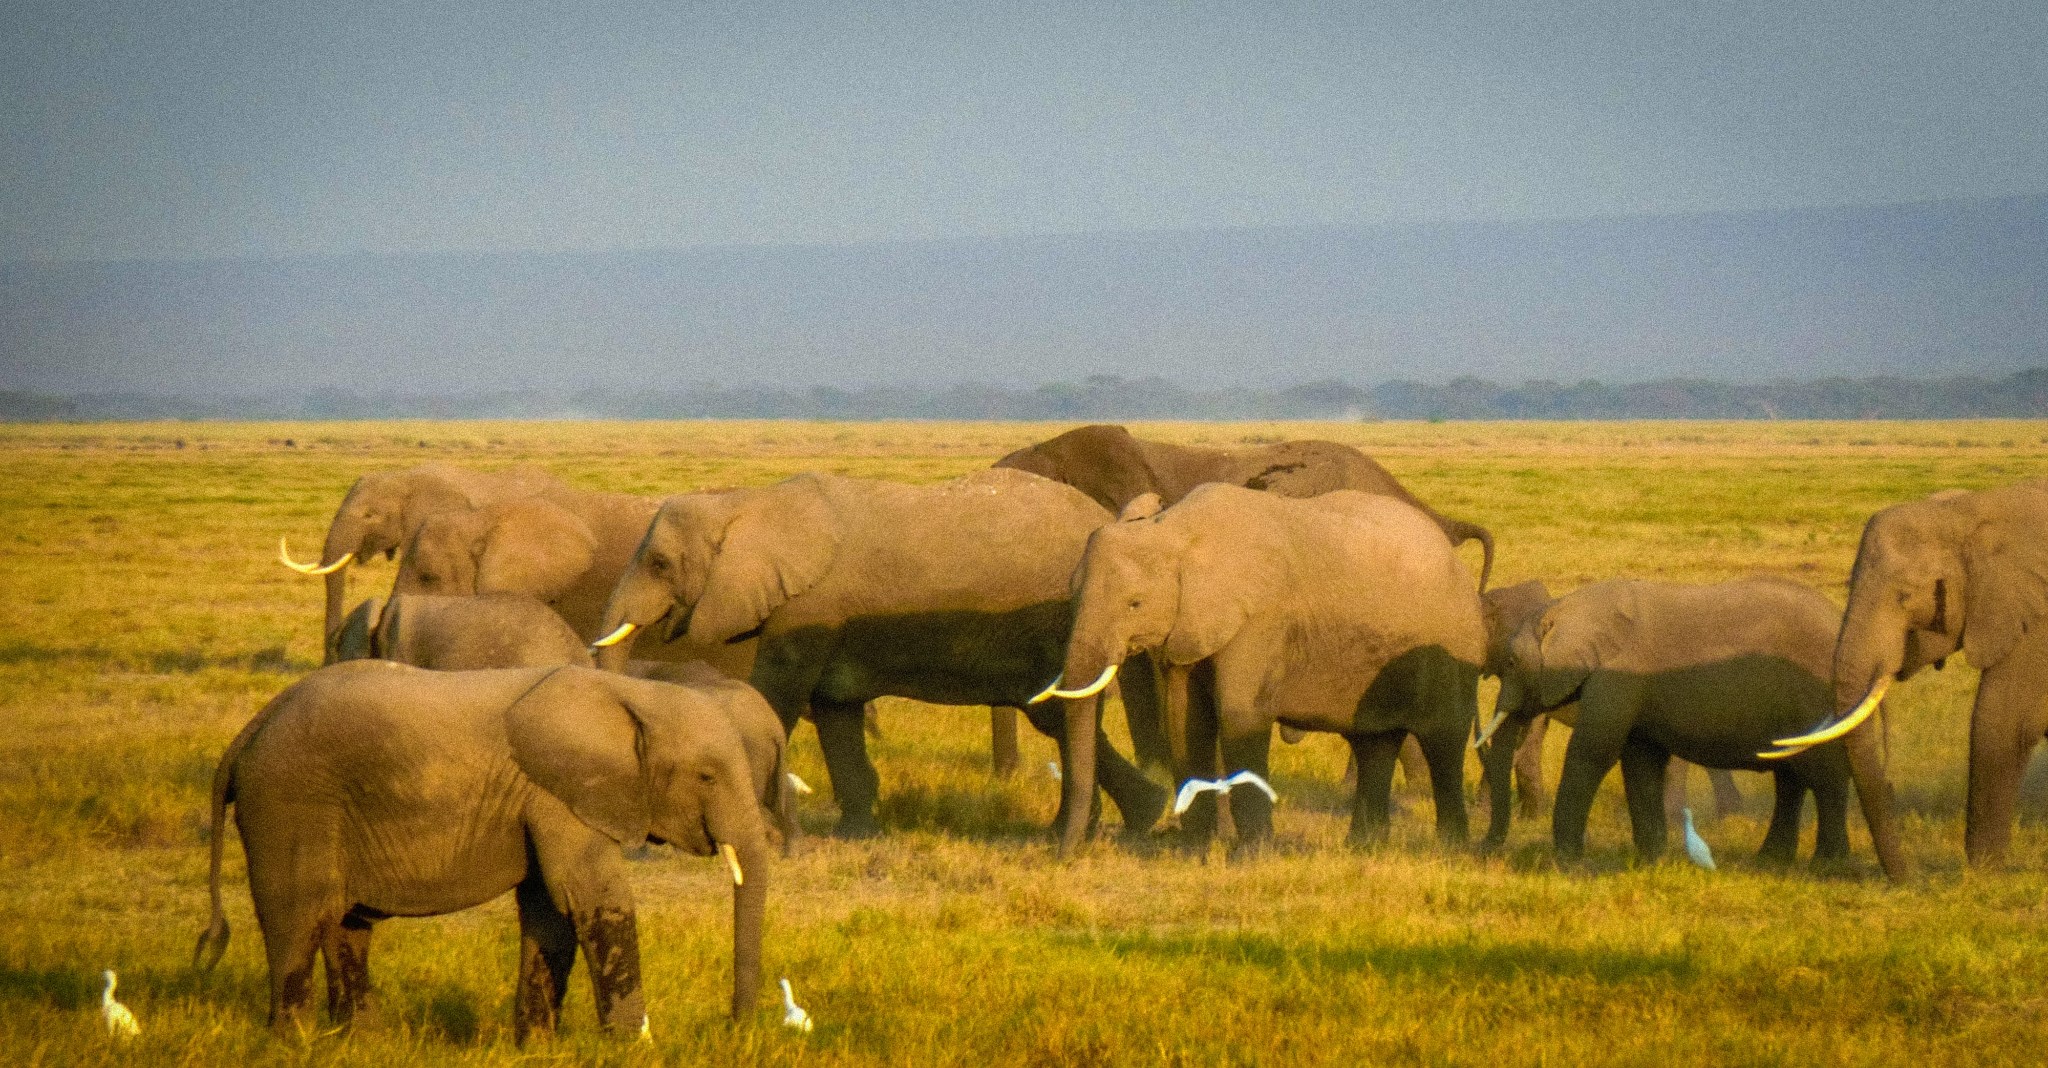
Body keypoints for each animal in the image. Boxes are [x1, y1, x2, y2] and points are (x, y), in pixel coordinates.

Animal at [197, 660, 774, 1037]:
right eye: (706, 776)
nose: (733, 1029)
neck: (631, 693)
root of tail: (250, 729)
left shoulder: (546, 798)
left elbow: (549, 912)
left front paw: (538, 1048)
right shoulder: (556, 794)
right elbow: (593, 899)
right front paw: (633, 1047)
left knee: (345, 926)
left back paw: (357, 1042)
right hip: (290, 805)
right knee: (299, 920)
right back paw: (293, 1043)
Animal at [1056, 487, 1490, 852]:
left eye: (1135, 604)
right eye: (1072, 595)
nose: (1068, 853)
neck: (1175, 530)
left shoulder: (1259, 621)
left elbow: (1240, 717)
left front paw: (1251, 855)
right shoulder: (1189, 625)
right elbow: (1184, 722)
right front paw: (1194, 850)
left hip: (1455, 643)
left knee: (1443, 742)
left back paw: (1450, 848)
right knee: (1374, 744)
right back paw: (1363, 848)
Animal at [1474, 573, 1900, 881]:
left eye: (1510, 662)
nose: (1484, 848)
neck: (1569, 606)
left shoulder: (1618, 676)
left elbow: (1593, 752)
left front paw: (1566, 860)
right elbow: (1640, 762)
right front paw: (1650, 860)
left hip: (1816, 697)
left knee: (1824, 776)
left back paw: (1826, 864)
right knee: (1791, 778)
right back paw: (1771, 860)